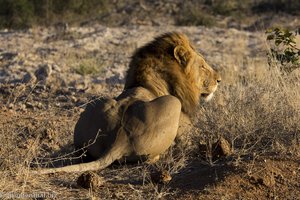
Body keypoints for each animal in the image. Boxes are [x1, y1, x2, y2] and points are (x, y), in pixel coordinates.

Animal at [35, 32, 220, 173]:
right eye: (203, 66)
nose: (219, 80)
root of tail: (120, 139)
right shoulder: (185, 130)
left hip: (97, 101)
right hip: (173, 103)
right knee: (151, 158)